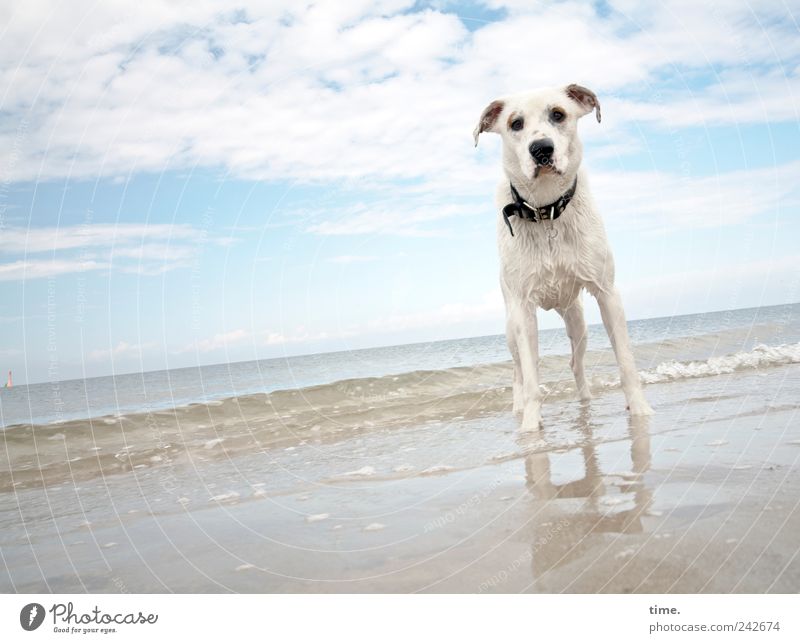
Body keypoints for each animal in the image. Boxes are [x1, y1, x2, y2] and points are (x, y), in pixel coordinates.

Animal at [476, 83, 648, 430]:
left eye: (558, 114)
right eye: (515, 123)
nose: (541, 149)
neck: (546, 210)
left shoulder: (607, 293)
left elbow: (625, 362)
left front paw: (640, 412)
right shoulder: (523, 310)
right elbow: (531, 381)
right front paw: (531, 430)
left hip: (577, 321)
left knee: (575, 363)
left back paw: (585, 402)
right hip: (512, 328)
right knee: (519, 371)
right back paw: (518, 410)